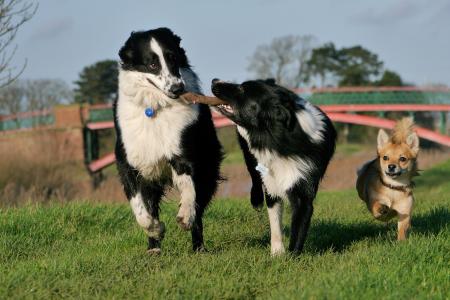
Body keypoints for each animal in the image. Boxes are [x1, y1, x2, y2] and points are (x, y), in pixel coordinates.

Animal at [114, 27, 223, 253]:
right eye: (152, 64)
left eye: (173, 58)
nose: (177, 88)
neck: (155, 108)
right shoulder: (128, 163)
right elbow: (140, 209)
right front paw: (156, 230)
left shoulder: (183, 154)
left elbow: (189, 191)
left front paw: (184, 216)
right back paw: (153, 248)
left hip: (208, 166)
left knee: (199, 206)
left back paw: (198, 247)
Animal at [211, 79, 334, 255]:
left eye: (242, 89)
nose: (214, 80)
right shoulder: (271, 181)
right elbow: (275, 221)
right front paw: (277, 253)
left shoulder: (304, 188)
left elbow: (299, 227)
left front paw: (292, 256)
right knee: (254, 175)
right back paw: (256, 200)